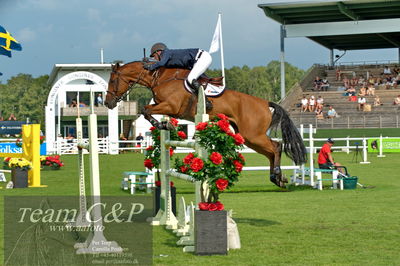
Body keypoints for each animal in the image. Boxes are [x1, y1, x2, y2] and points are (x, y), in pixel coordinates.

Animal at [105, 61, 306, 188]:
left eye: (113, 80)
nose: (108, 103)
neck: (159, 77)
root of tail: (265, 103)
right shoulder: (167, 107)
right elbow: (147, 110)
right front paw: (165, 125)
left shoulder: (171, 106)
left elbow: (145, 109)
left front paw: (166, 126)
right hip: (249, 137)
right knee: (272, 151)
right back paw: (278, 178)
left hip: (253, 135)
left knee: (276, 147)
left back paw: (277, 175)